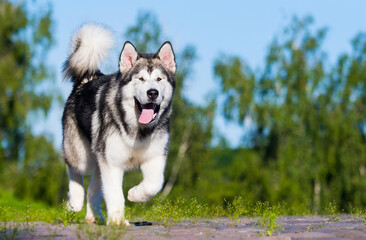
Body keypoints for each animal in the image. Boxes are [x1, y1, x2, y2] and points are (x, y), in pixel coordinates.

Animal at [61, 23, 176, 224]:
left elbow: (154, 184)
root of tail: (88, 78)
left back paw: (94, 217)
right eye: (140, 79)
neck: (138, 130)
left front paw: (134, 195)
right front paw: (117, 222)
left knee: (93, 190)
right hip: (82, 154)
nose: (152, 92)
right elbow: (115, 194)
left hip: (99, 159)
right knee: (75, 169)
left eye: (159, 79)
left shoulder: (155, 157)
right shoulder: (112, 163)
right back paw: (75, 200)